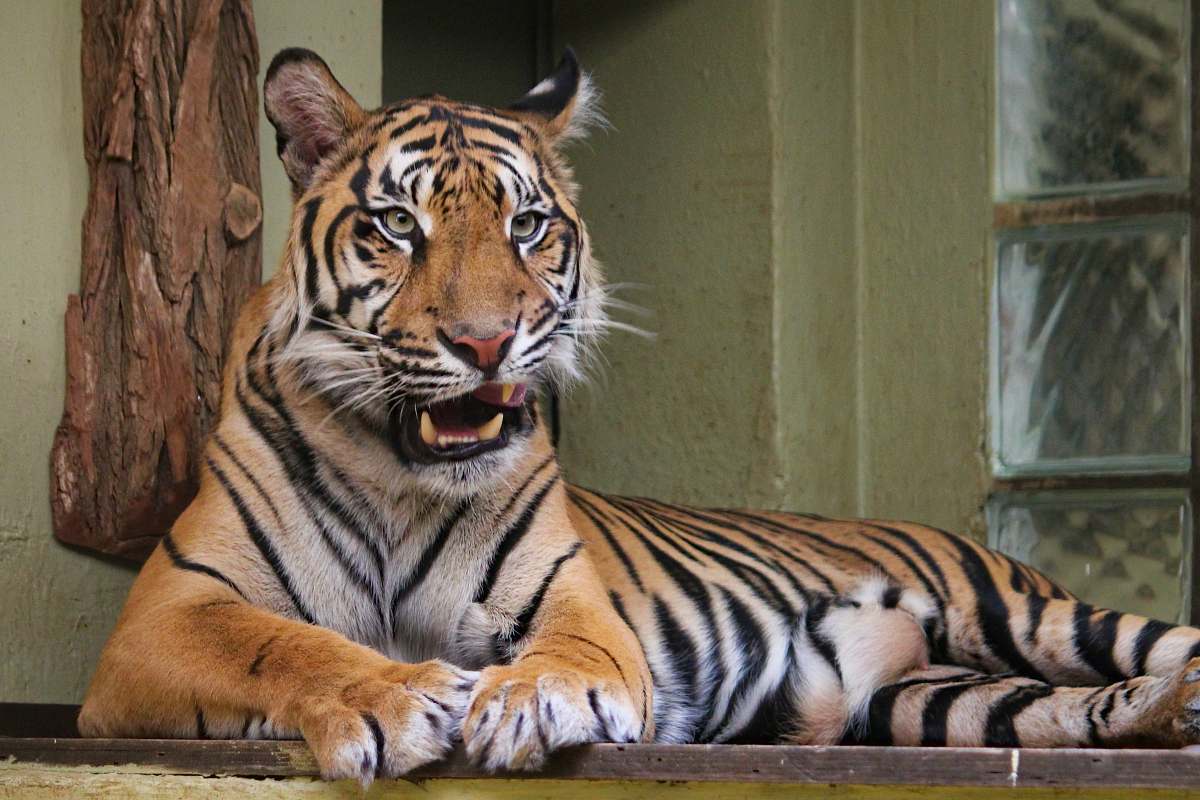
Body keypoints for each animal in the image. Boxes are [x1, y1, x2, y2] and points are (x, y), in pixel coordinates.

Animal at [82, 45, 1200, 782]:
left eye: (528, 224)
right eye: (397, 224)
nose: (485, 341)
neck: (403, 475)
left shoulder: (574, 602)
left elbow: (568, 653)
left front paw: (530, 696)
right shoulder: (160, 618)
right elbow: (284, 643)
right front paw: (393, 694)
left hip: (1016, 610)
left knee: (1149, 640)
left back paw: (1178, 693)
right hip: (938, 698)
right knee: (1057, 712)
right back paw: (1163, 716)